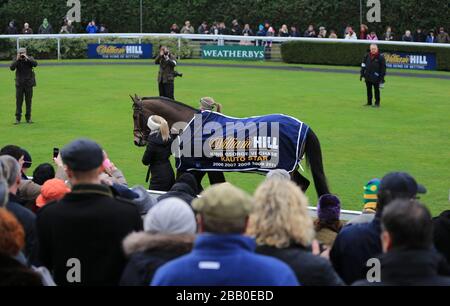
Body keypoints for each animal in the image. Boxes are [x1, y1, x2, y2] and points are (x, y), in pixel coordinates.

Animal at [131, 94, 330, 197]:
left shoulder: (189, 166)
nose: (137, 140)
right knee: (303, 183)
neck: (191, 125)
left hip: (285, 168)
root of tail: (304, 126)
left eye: (134, 116)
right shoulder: (204, 168)